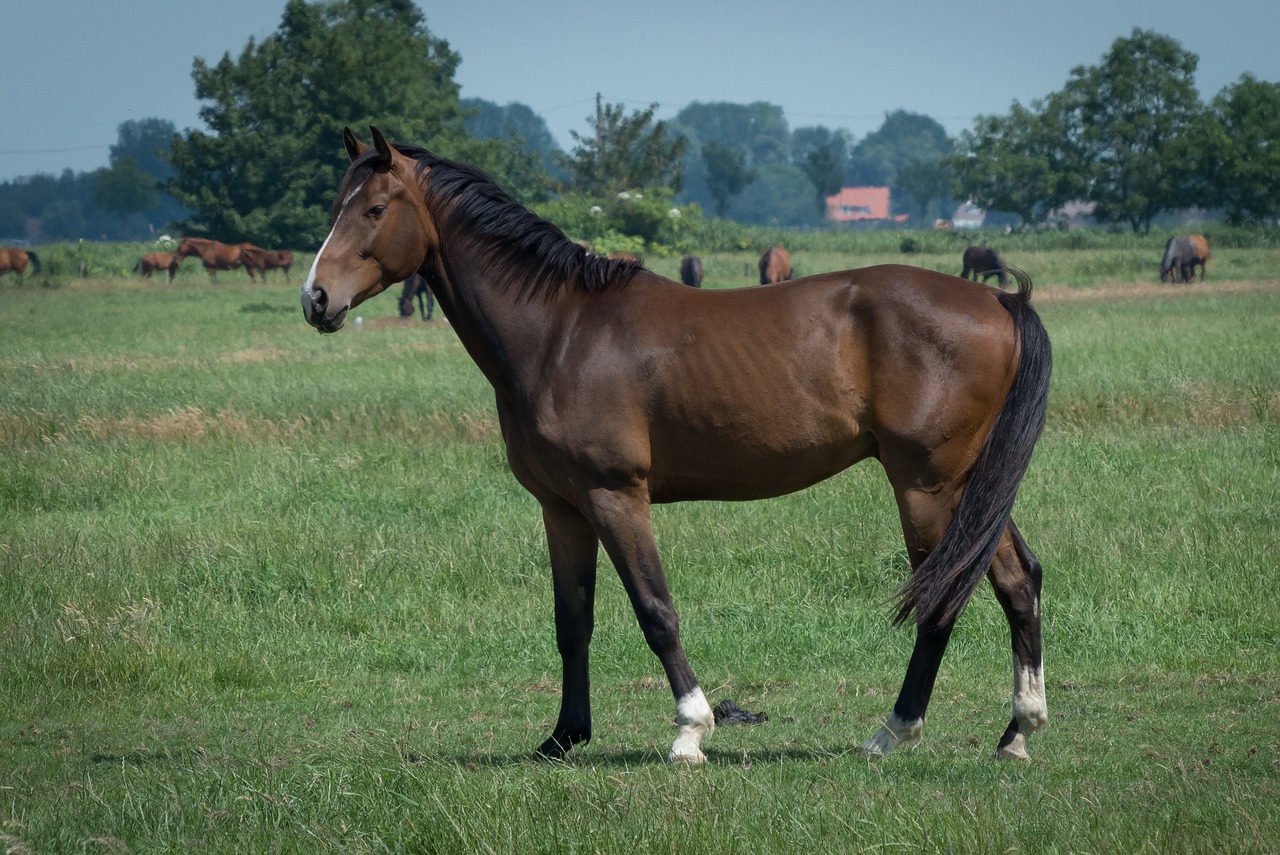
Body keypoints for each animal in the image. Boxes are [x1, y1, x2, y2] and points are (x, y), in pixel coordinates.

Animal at [299, 130, 1049, 762]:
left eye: (373, 209)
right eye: (337, 207)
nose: (316, 299)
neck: (561, 332)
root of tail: (999, 302)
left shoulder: (615, 496)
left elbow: (655, 611)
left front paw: (691, 730)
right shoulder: (562, 508)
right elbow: (572, 621)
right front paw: (563, 737)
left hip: (926, 487)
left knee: (942, 598)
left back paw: (894, 731)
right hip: (965, 487)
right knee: (1018, 579)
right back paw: (1017, 731)